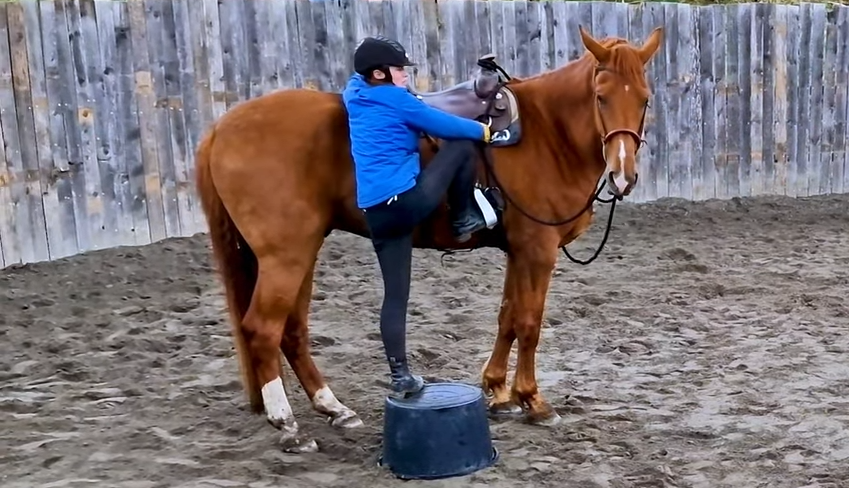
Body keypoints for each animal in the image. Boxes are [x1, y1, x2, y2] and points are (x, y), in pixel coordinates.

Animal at [194, 25, 664, 454]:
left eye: (644, 98)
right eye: (601, 97)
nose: (623, 175)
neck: (546, 132)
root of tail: (221, 128)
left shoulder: (518, 252)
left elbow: (508, 318)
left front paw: (499, 393)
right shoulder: (537, 251)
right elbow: (529, 323)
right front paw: (533, 400)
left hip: (301, 254)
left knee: (292, 331)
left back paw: (333, 408)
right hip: (285, 256)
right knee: (263, 329)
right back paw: (287, 424)